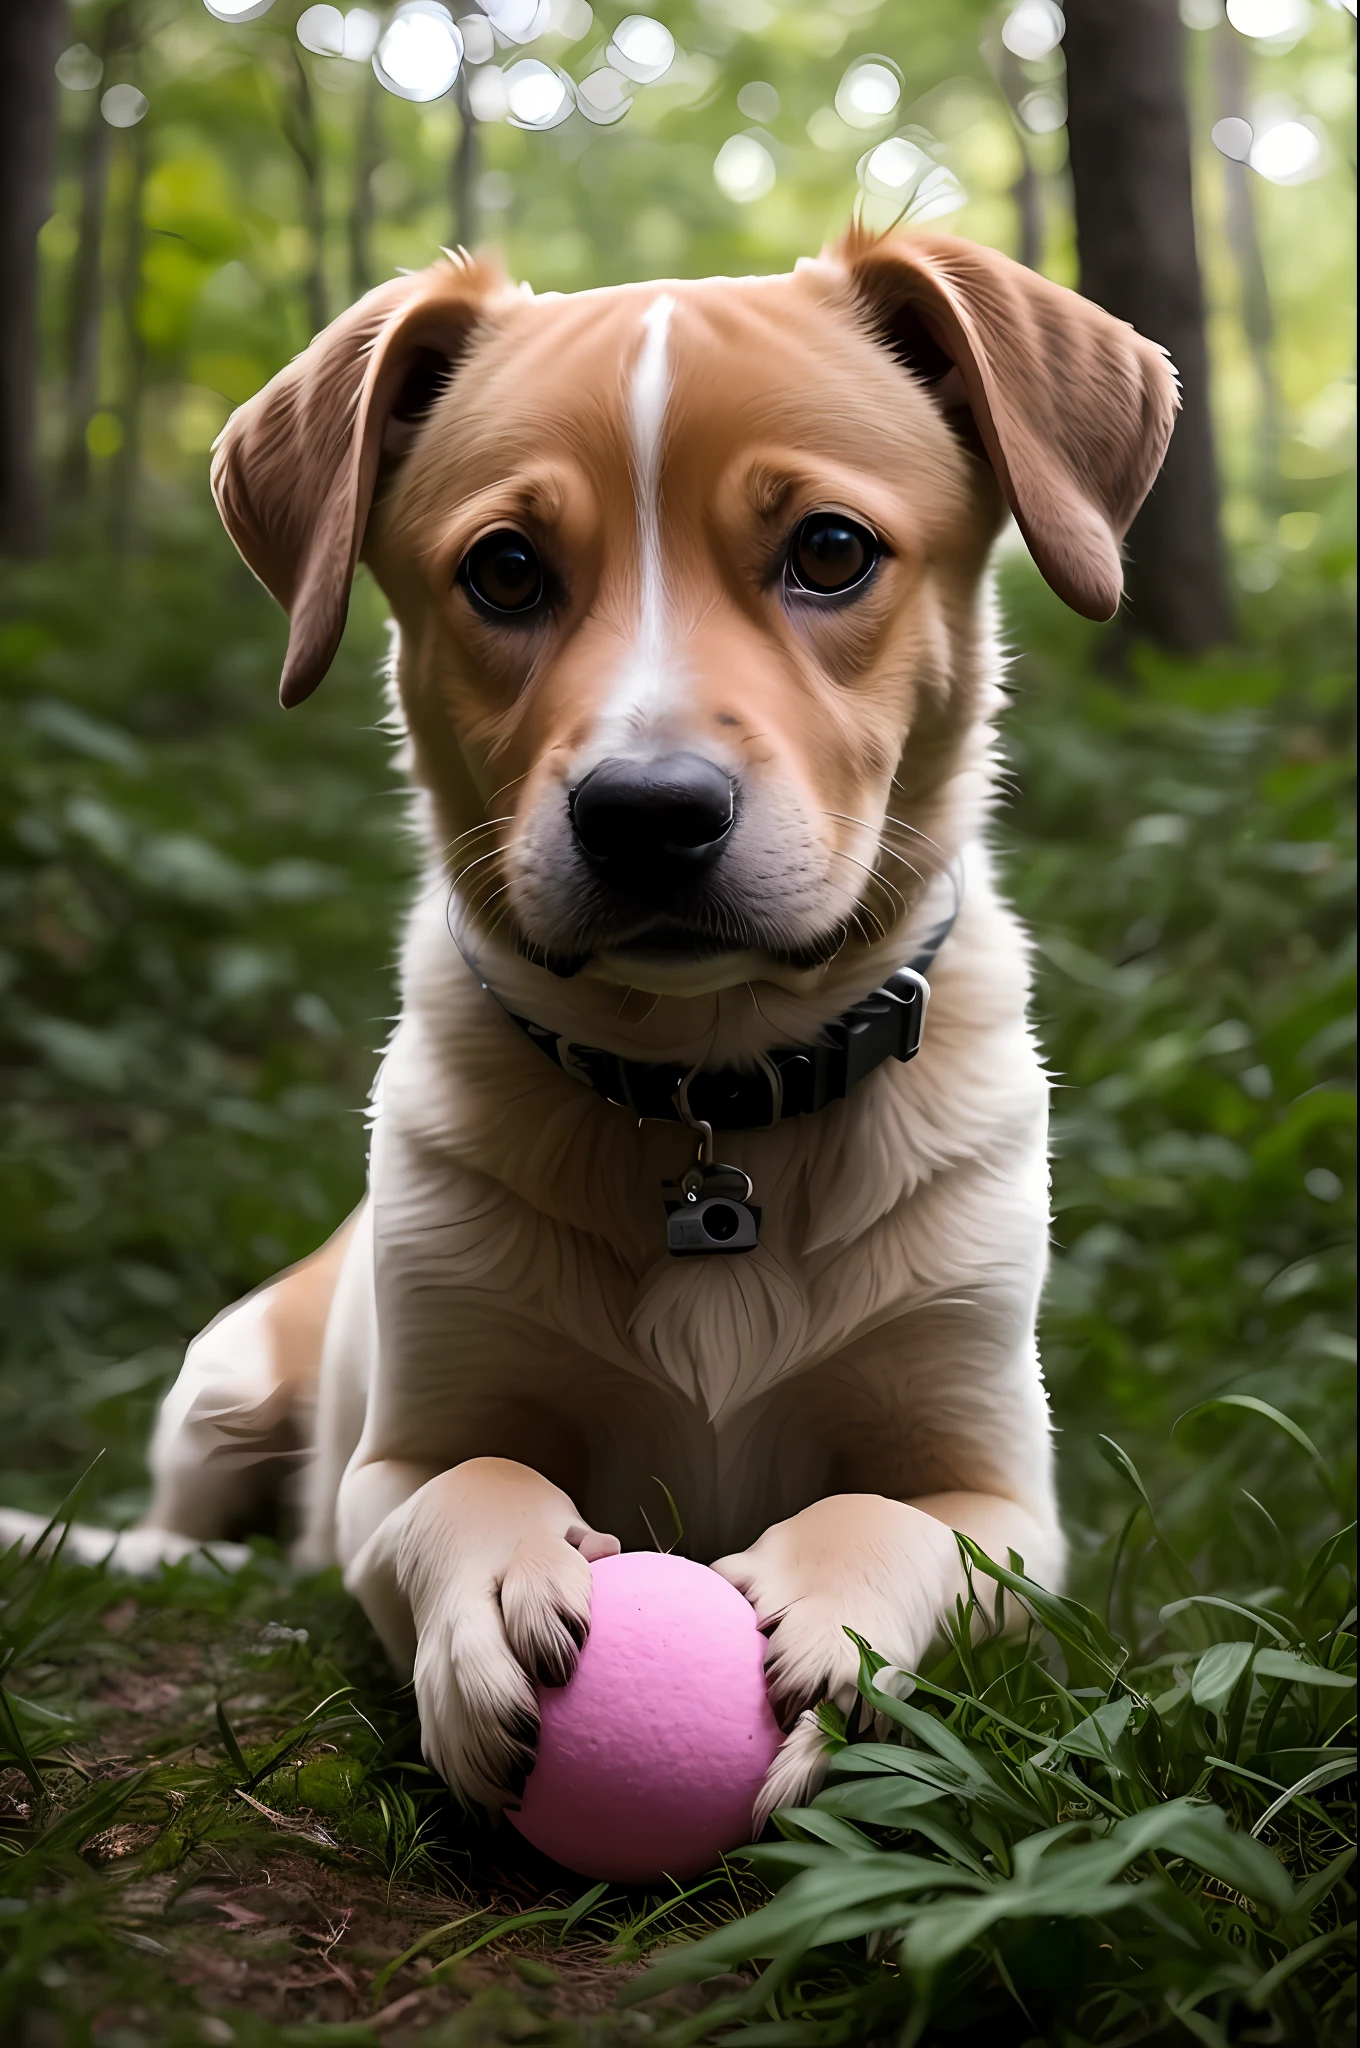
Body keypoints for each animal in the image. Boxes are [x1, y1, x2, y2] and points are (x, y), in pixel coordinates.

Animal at [18, 228, 1179, 1826]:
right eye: (505, 569)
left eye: (831, 549)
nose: (648, 813)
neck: (705, 1099)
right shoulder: (399, 1449)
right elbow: (458, 1485)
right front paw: (502, 1588)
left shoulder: (1006, 1492)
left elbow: (893, 1512)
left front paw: (834, 1621)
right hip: (222, 1385)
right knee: (205, 1521)